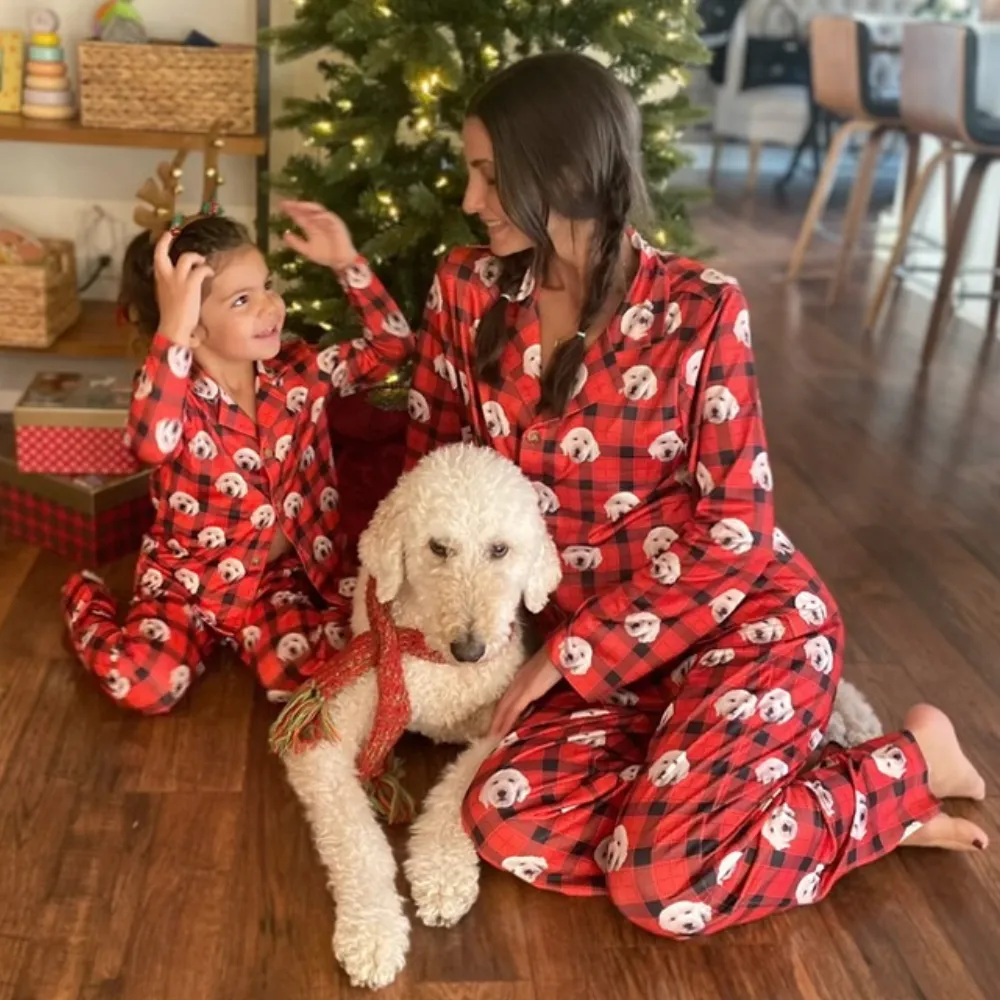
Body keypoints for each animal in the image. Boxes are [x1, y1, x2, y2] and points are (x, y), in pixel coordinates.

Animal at [278, 446, 880, 992]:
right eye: (438, 547)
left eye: (499, 549)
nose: (471, 649)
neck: (433, 660)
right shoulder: (323, 741)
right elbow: (357, 840)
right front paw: (372, 934)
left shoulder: (499, 722)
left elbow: (453, 795)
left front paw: (442, 876)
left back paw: (854, 718)